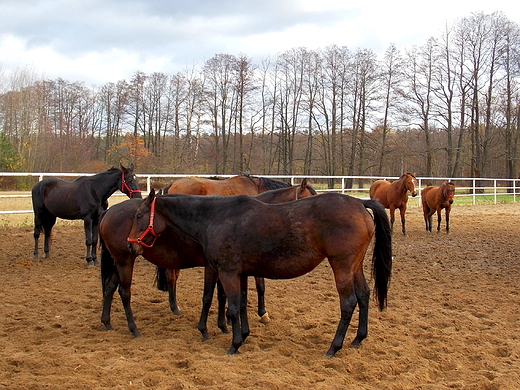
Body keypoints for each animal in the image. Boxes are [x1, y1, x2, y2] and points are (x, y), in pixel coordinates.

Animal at [99, 179, 314, 338]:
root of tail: (109, 212)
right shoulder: (220, 267)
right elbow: (217, 295)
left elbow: (224, 295)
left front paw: (225, 323)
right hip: (125, 261)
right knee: (124, 292)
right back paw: (134, 328)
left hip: (120, 262)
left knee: (110, 287)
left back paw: (107, 322)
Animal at [128, 190, 392, 358]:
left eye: (139, 216)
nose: (131, 246)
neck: (216, 218)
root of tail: (359, 204)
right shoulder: (242, 273)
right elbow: (243, 304)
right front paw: (244, 335)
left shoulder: (228, 272)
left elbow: (233, 307)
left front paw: (234, 345)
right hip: (355, 266)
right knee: (364, 295)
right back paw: (357, 339)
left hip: (342, 266)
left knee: (348, 302)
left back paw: (334, 348)